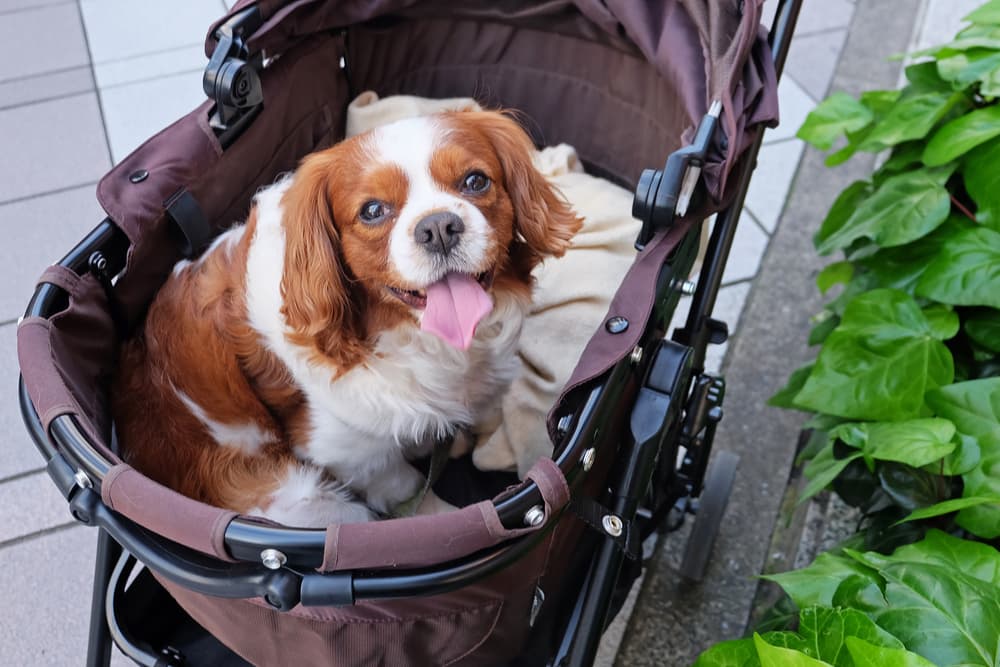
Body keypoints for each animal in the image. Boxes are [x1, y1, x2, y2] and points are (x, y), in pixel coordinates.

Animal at [113, 111, 584, 528]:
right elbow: (406, 489)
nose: (438, 227)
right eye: (373, 210)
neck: (410, 335)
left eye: (475, 181)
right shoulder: (348, 451)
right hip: (300, 501)